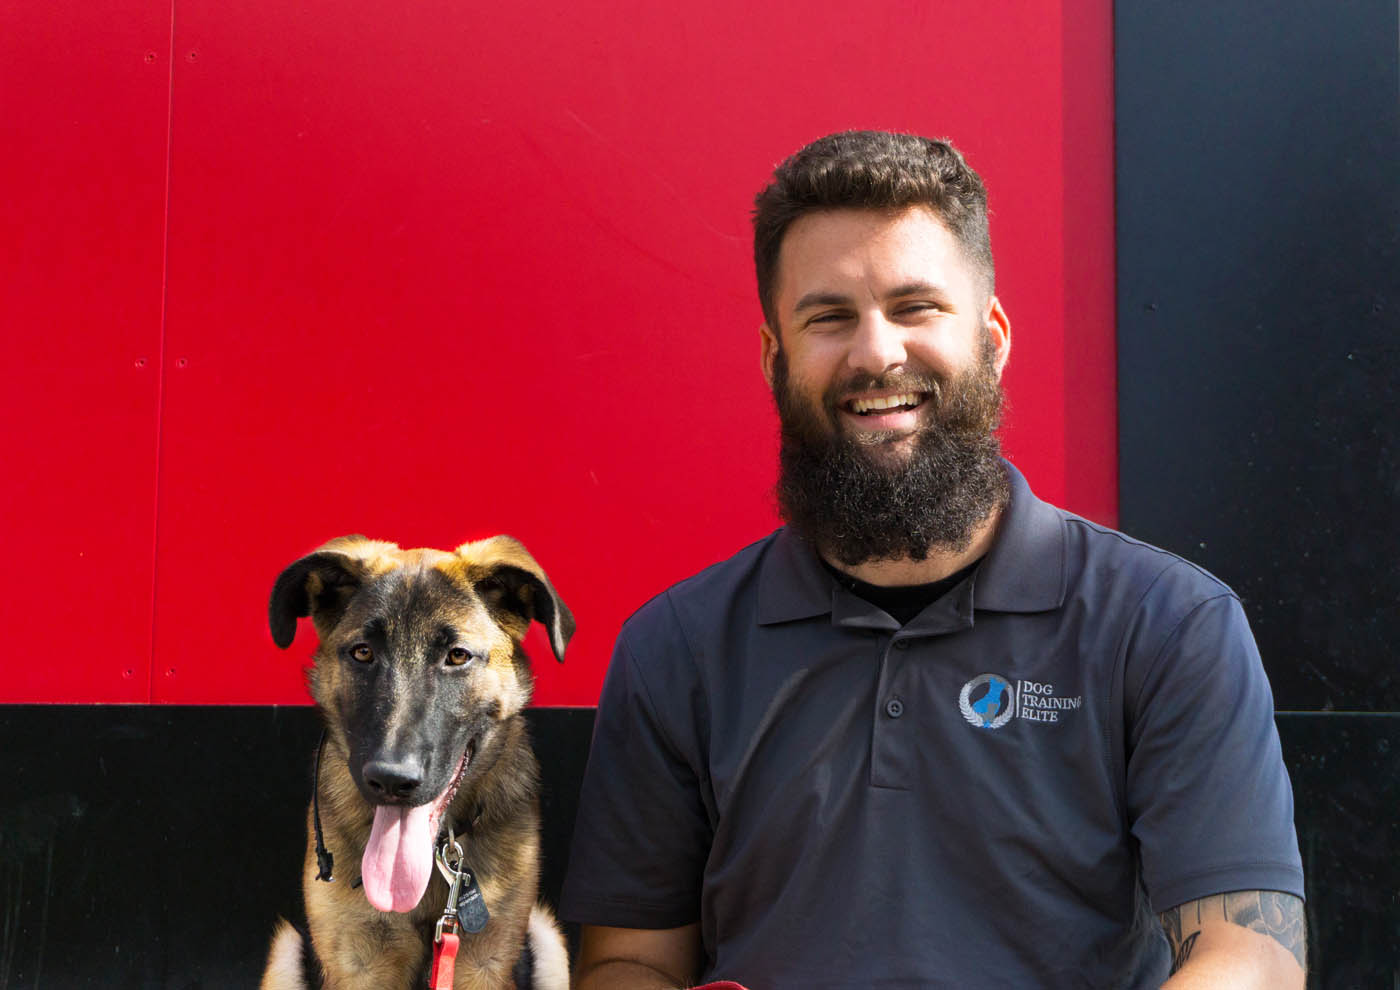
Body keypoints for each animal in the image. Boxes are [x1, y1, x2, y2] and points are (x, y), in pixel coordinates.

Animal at [260, 537, 571, 990]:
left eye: (457, 656)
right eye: (363, 653)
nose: (391, 779)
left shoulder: (486, 962)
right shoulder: (358, 963)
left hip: (549, 939)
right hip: (284, 953)